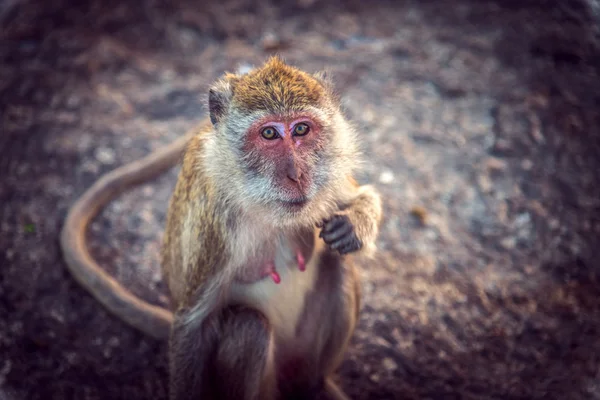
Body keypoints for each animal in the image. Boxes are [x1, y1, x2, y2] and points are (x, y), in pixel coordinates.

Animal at [161, 57, 380, 400]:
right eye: (268, 134)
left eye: (301, 129)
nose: (297, 175)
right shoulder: (214, 219)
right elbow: (192, 323)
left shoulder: (327, 180)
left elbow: (361, 196)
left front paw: (354, 225)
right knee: (250, 327)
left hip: (301, 355)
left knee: (339, 264)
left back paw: (314, 387)